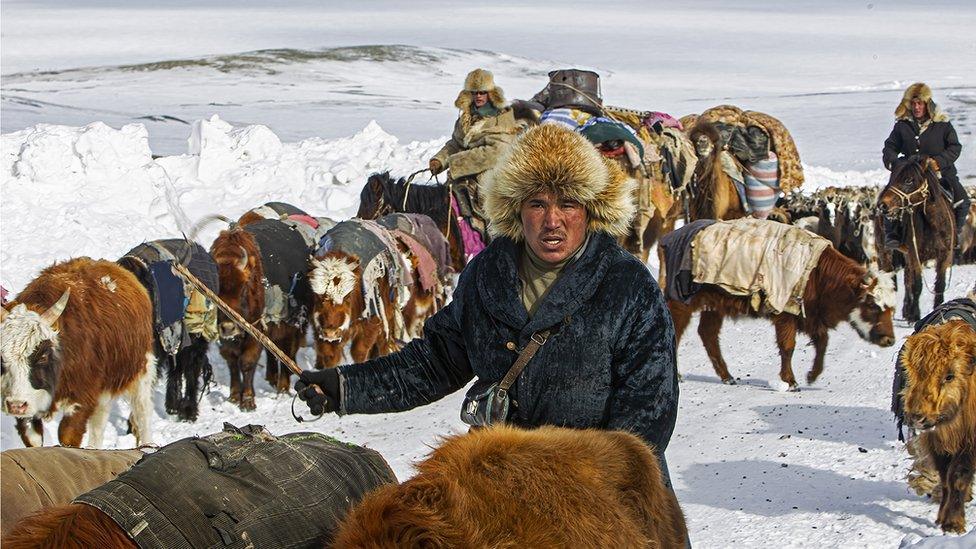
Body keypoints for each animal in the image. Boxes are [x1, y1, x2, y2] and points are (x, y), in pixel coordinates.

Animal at [876, 155, 952, 322]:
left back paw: (906, 310)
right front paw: (915, 316)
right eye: (892, 177)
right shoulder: (916, 255)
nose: (883, 205)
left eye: (909, 180)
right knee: (890, 277)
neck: (933, 225)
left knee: (906, 279)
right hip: (886, 252)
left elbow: (940, 285)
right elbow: (917, 286)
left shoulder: (944, 256)